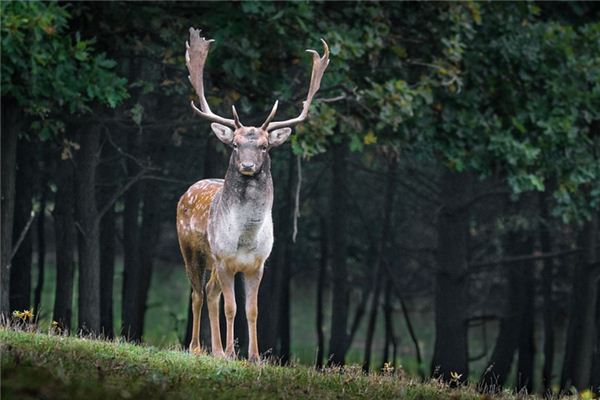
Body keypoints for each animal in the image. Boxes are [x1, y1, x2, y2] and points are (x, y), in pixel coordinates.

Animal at [176, 26, 330, 360]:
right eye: (235, 144)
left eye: (264, 146)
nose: (247, 166)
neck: (245, 238)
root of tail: (188, 191)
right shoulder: (224, 259)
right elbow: (231, 308)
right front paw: (231, 353)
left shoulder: (258, 264)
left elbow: (252, 310)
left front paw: (254, 357)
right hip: (191, 250)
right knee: (197, 293)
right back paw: (198, 348)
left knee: (210, 292)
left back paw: (215, 349)